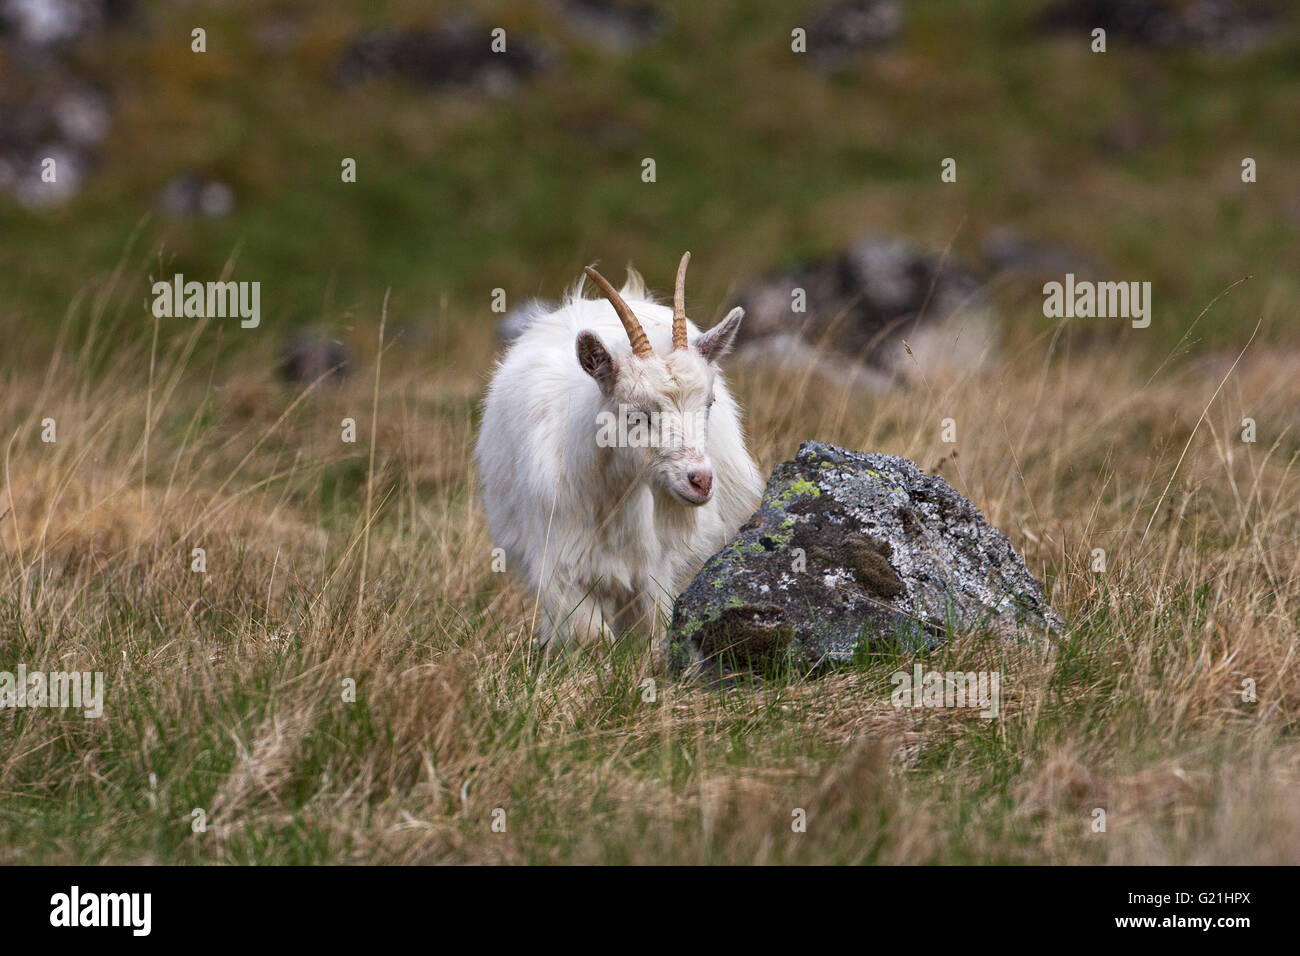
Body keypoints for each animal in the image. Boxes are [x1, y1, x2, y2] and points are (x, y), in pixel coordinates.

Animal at [475, 251, 759, 647]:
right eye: (637, 413)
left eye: (709, 403)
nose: (700, 480)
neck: (615, 496)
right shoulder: (560, 566)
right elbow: (590, 636)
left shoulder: (655, 572)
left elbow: (651, 633)